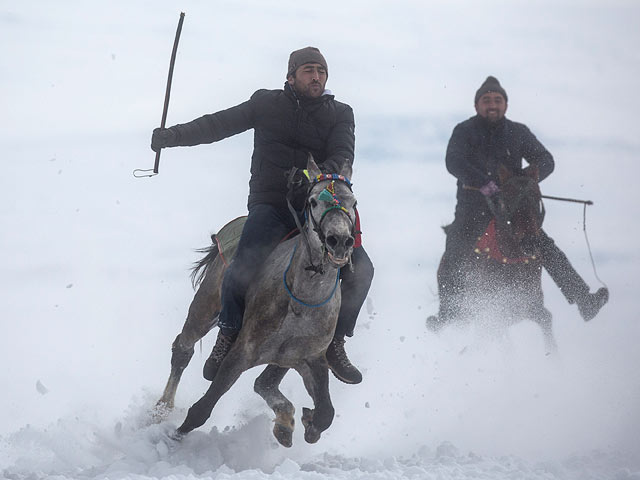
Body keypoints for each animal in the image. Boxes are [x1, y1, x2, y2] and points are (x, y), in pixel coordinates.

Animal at [154, 157, 356, 446]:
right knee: (183, 349)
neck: (301, 302)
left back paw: (285, 423)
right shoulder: (241, 354)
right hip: (205, 309)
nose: (339, 241)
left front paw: (308, 423)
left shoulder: (311, 359)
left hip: (284, 359)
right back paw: (160, 410)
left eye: (354, 203)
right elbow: (202, 409)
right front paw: (172, 440)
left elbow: (326, 413)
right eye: (313, 201)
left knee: (264, 382)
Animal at [428, 166, 556, 352]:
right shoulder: (492, 313)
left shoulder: (531, 306)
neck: (512, 259)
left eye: (537, 196)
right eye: (507, 199)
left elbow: (547, 323)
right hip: (454, 307)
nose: (529, 241)